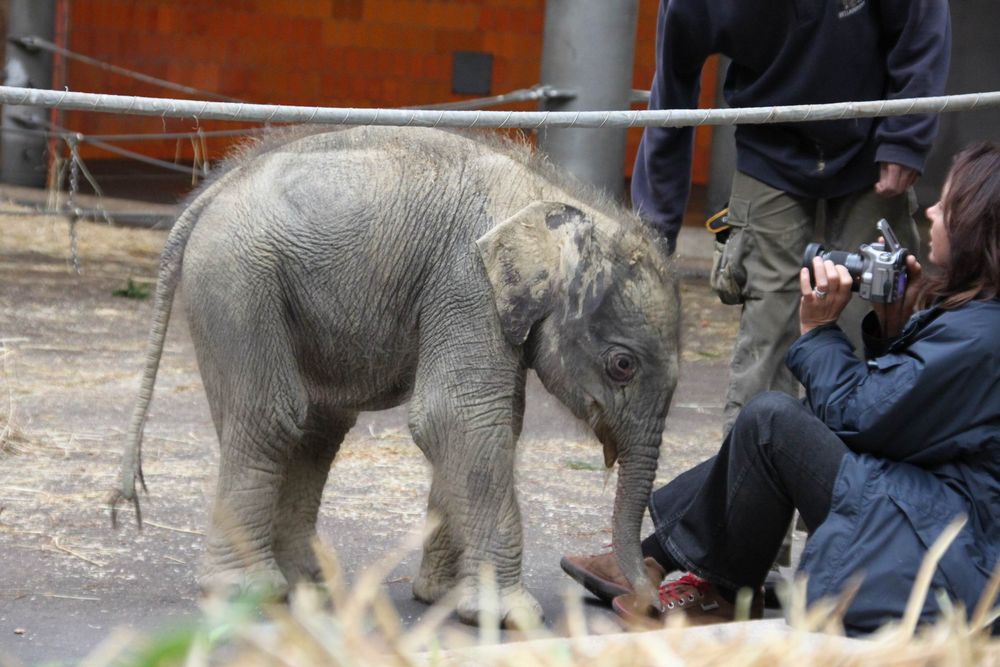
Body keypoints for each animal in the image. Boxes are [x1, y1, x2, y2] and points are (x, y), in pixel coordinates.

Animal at [113, 125, 684, 628]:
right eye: (623, 365)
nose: (651, 604)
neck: (554, 202)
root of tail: (210, 192)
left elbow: (491, 425)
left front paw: (442, 597)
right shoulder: (466, 282)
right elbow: (459, 419)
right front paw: (511, 618)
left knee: (315, 429)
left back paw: (307, 587)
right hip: (236, 282)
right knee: (271, 420)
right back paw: (247, 592)